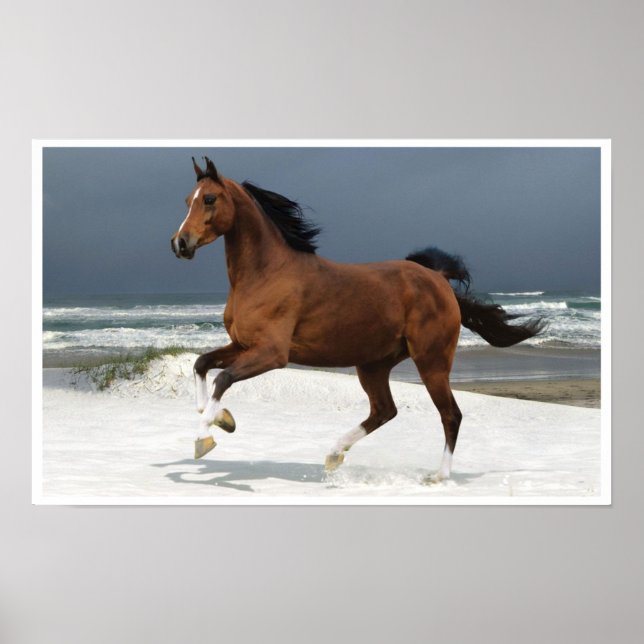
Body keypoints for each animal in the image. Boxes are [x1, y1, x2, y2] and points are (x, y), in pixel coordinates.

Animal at [171, 157, 544, 482]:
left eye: (209, 199)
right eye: (188, 200)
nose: (180, 243)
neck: (265, 273)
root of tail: (438, 279)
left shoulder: (272, 354)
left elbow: (223, 379)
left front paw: (204, 438)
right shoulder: (243, 344)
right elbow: (202, 364)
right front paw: (220, 419)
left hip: (431, 361)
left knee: (450, 415)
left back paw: (438, 476)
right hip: (374, 364)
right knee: (384, 410)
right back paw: (334, 454)